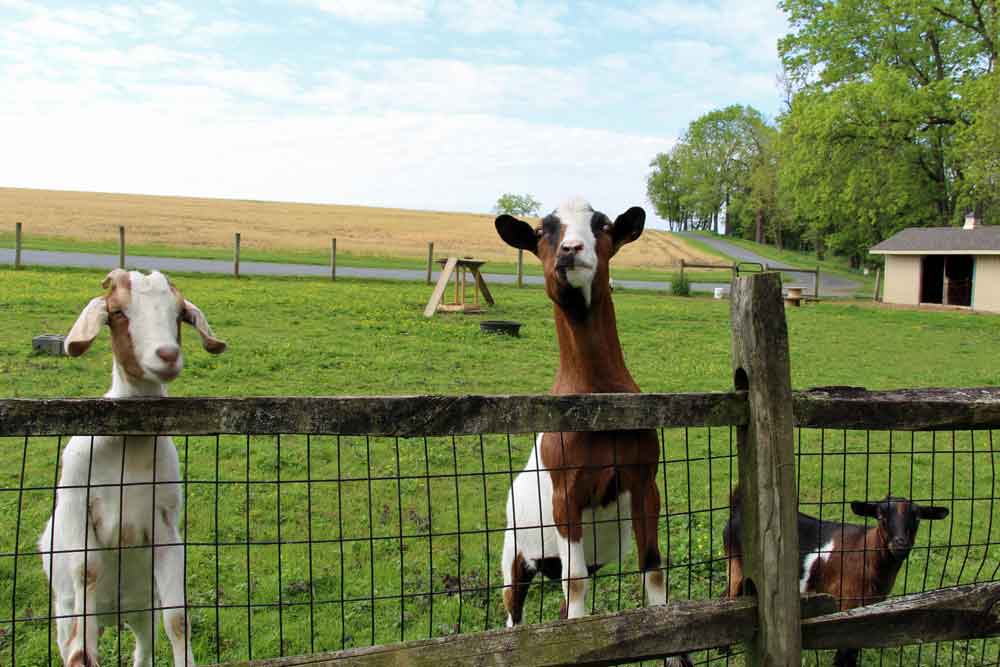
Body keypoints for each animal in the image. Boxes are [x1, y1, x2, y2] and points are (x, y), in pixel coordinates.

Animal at [38, 268, 226, 664]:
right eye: (118, 313)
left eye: (178, 314)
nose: (167, 354)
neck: (130, 446)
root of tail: (115, 613)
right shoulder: (79, 505)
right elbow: (87, 577)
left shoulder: (165, 523)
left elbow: (178, 619)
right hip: (64, 608)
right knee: (71, 637)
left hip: (141, 609)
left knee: (143, 648)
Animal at [494, 197, 680, 648]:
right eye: (541, 231)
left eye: (603, 224)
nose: (571, 250)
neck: (598, 400)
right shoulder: (567, 493)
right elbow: (576, 583)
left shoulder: (644, 481)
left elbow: (653, 570)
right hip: (514, 553)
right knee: (513, 611)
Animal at [728, 488, 944, 664]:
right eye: (880, 515)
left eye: (917, 518)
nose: (900, 544)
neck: (865, 554)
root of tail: (736, 509)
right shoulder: (846, 605)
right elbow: (844, 653)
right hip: (736, 566)